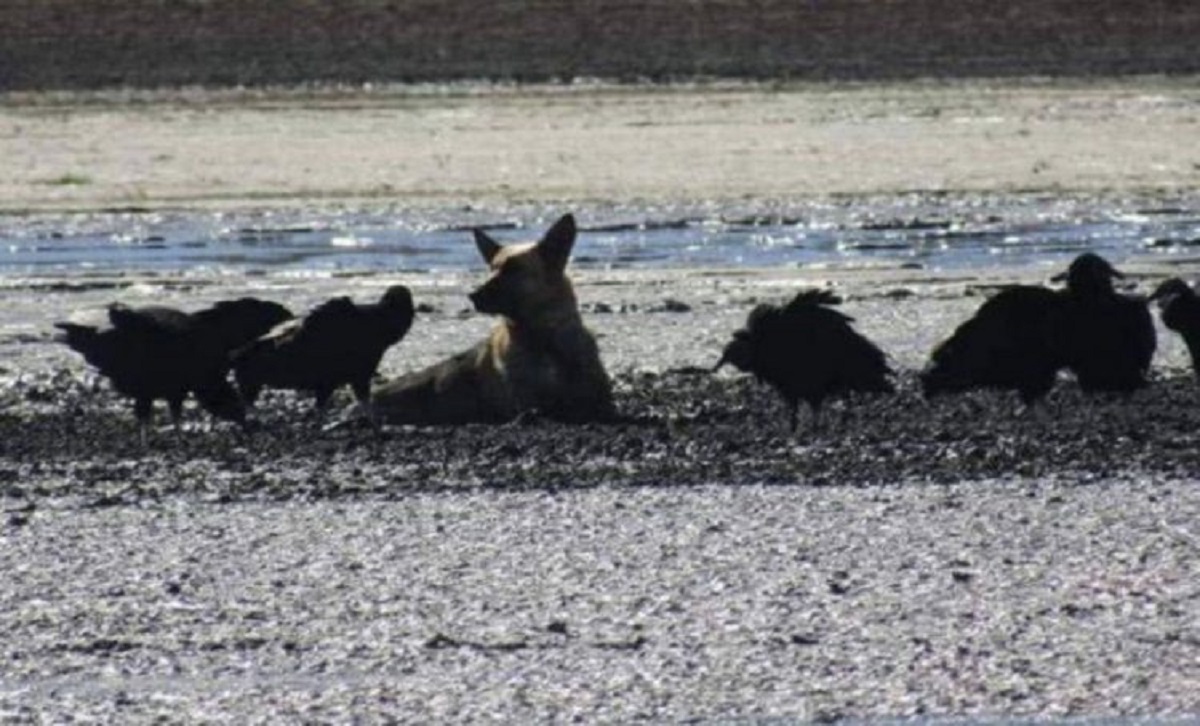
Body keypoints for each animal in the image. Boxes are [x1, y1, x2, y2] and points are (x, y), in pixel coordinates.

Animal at [372, 212, 619, 422]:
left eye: (513, 268)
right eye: (491, 268)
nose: (473, 295)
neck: (542, 337)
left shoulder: (602, 404)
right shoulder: (531, 406)